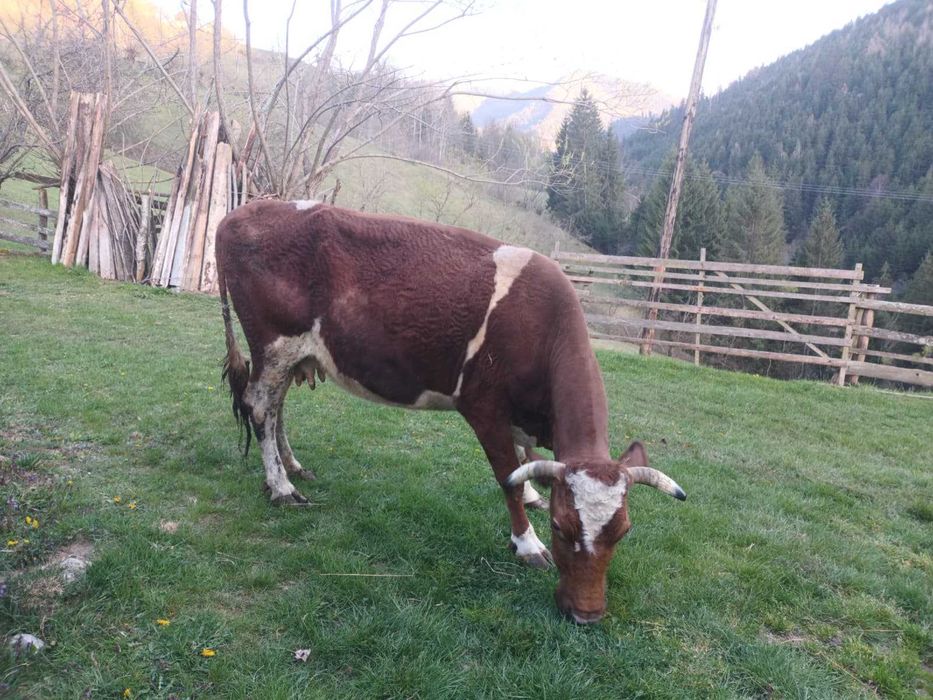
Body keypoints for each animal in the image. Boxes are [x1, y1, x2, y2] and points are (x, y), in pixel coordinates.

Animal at [215, 199, 686, 623]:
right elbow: (507, 476)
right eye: (559, 526)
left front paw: (533, 492)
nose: (585, 614)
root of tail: (242, 212)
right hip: (274, 344)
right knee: (261, 407)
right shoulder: (484, 407)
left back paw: (292, 466)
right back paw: (281, 487)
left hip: (291, 354)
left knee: (277, 406)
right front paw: (527, 543)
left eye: (623, 531)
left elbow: (525, 462)